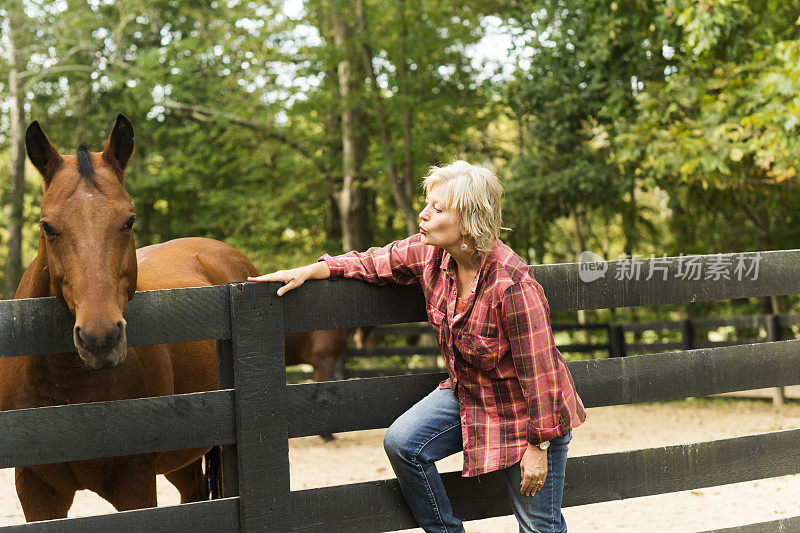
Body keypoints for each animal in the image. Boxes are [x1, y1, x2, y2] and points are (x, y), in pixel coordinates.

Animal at [0, 115, 258, 520]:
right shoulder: (35, 489)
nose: (100, 338)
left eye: (128, 221)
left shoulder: (134, 482)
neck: (66, 392)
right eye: (47, 227)